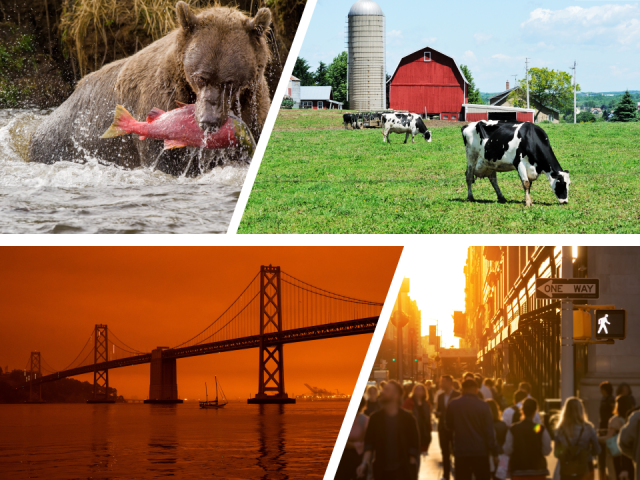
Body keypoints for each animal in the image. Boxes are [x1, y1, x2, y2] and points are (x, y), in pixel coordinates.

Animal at [28, 1, 270, 176]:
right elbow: (164, 160)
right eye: (200, 78)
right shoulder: (162, 98)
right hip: (63, 144)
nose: (208, 122)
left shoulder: (252, 106)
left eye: (229, 82)